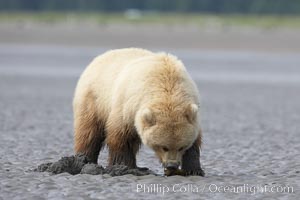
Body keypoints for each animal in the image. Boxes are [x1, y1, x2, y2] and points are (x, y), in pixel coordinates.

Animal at [73, 47, 204, 176]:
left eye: (182, 147)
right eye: (164, 147)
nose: (171, 165)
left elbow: (195, 142)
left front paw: (194, 170)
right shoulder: (128, 106)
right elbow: (122, 138)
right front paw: (122, 166)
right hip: (94, 99)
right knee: (89, 133)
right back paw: (84, 160)